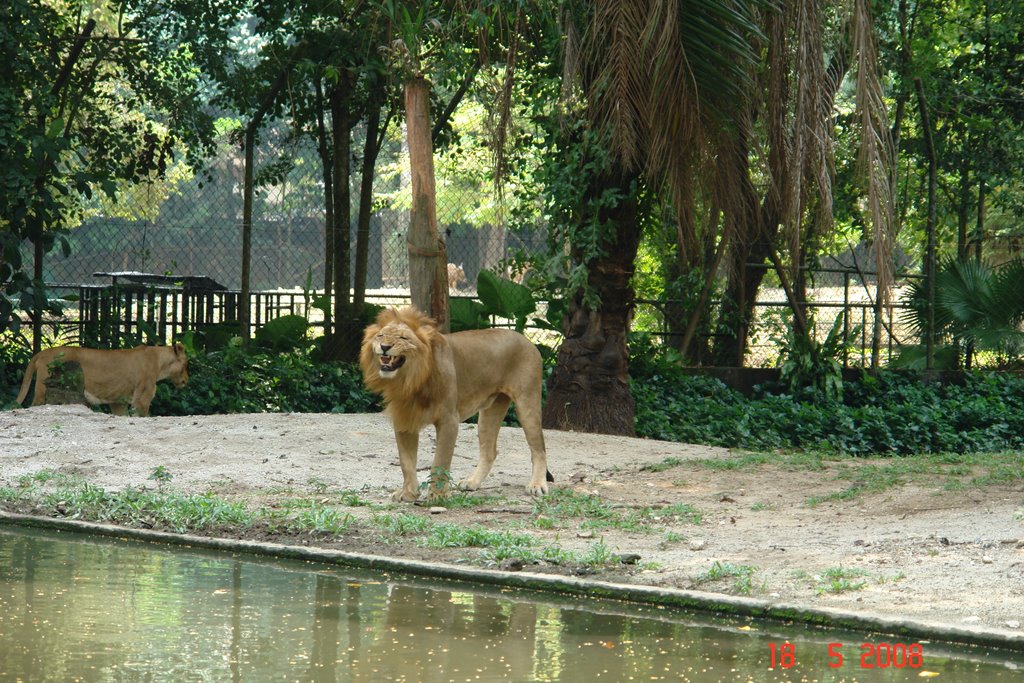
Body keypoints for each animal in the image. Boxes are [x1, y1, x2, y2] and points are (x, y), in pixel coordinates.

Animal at [362, 309, 552, 501]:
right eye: (380, 336)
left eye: (403, 338)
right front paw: (408, 493)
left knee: (539, 449)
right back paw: (472, 482)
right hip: (489, 412)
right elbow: (406, 463)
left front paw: (438, 495)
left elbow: (441, 460)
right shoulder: (405, 419)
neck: (411, 380)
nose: (385, 346)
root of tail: (527, 341)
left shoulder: (449, 420)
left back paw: (537, 485)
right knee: (489, 451)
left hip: (527, 403)